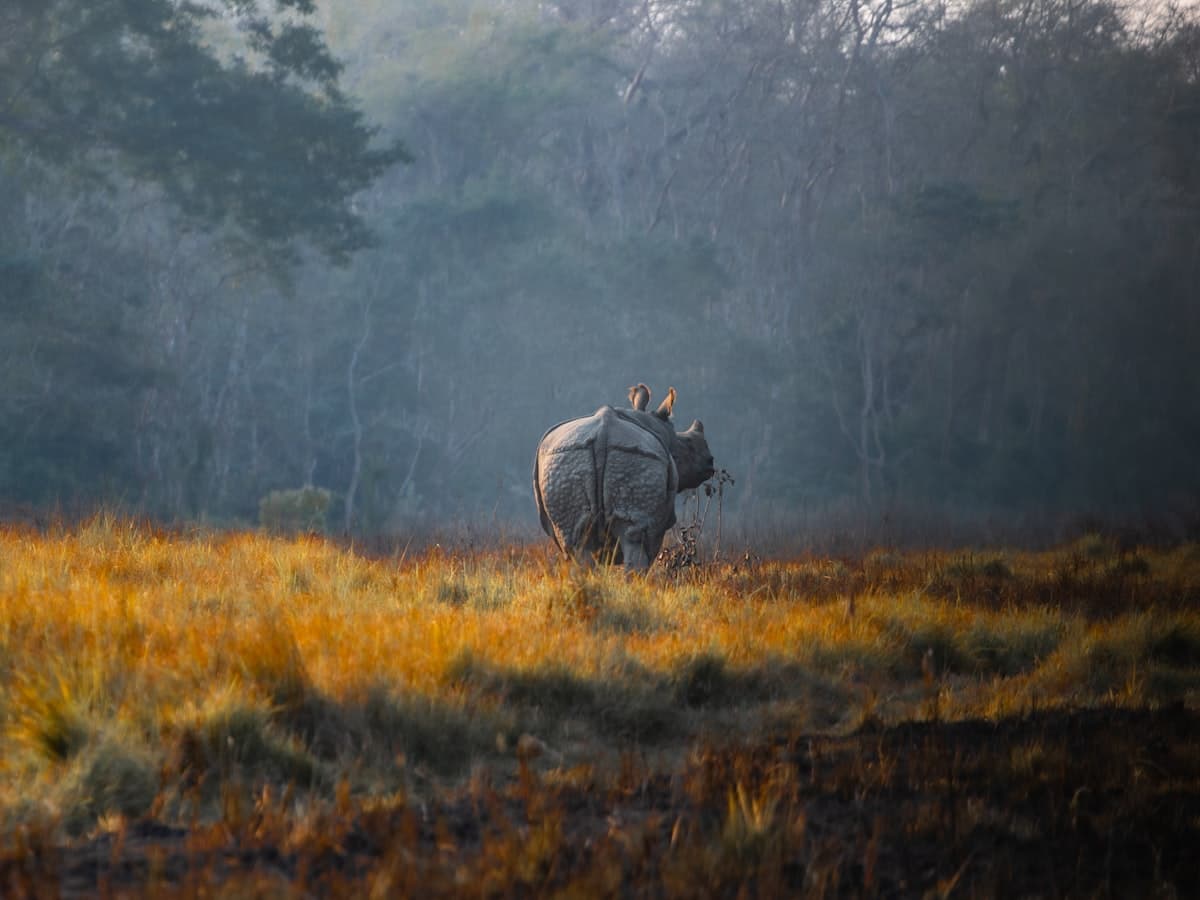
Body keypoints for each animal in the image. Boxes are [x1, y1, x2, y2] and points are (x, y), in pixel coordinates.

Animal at [533, 384, 716, 569]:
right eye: (688, 446)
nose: (710, 462)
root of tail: (602, 434)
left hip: (566, 462)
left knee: (577, 543)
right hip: (639, 460)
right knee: (635, 541)